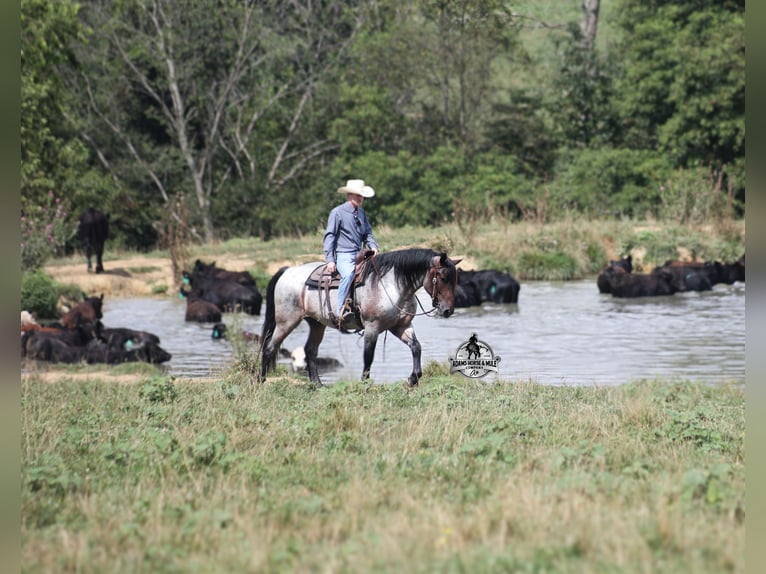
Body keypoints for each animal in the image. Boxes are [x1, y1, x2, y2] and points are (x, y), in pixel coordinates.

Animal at [258, 248, 461, 388]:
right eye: (443, 277)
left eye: (455, 279)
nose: (448, 311)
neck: (392, 285)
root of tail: (287, 270)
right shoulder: (372, 327)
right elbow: (368, 356)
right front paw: (364, 383)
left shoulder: (400, 326)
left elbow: (416, 347)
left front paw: (413, 378)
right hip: (286, 321)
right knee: (269, 347)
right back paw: (261, 380)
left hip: (316, 323)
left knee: (310, 350)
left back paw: (318, 385)